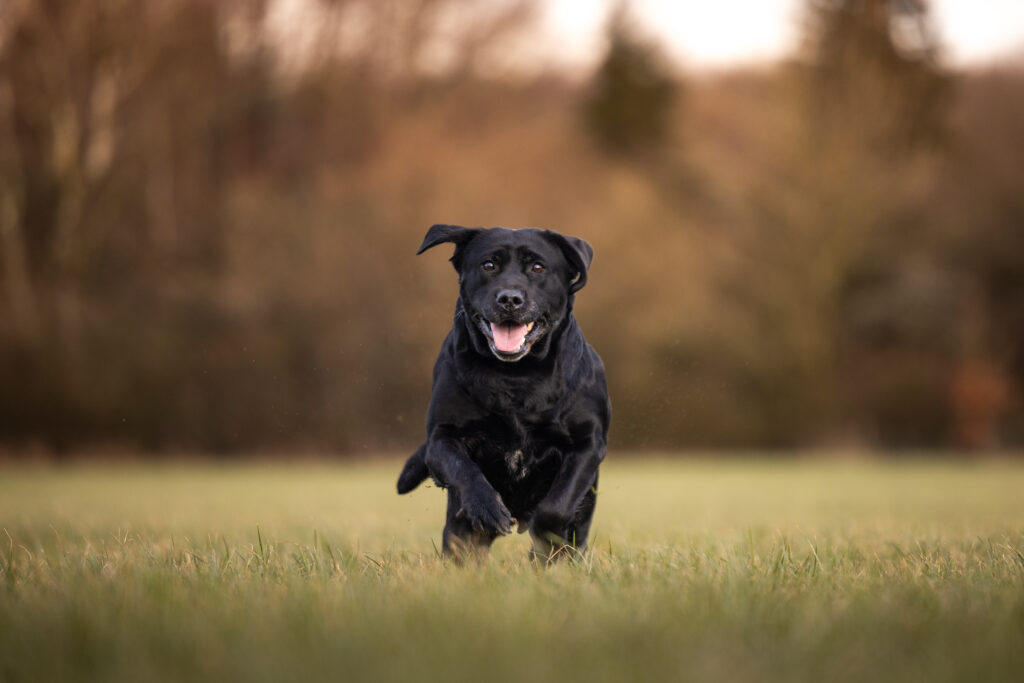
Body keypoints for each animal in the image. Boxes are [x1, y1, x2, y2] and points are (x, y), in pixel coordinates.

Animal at [397, 224, 606, 561]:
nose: (510, 298)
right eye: (488, 265)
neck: (517, 375)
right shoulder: (442, 437)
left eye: (538, 267)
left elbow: (557, 506)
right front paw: (488, 510)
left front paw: (545, 540)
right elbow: (463, 468)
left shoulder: (587, 443)